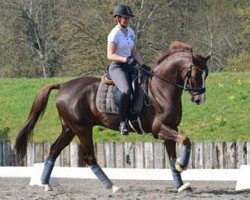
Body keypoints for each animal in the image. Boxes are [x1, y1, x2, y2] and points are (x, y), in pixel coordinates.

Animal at [14, 41, 211, 194]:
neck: (161, 89)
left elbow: (172, 156)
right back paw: (113, 187)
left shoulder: (170, 128)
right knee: (89, 158)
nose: (200, 99)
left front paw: (182, 186)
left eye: (206, 73)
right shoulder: (159, 129)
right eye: (195, 73)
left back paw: (46, 184)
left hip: (69, 129)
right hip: (82, 129)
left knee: (54, 149)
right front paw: (182, 165)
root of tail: (63, 86)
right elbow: (185, 140)